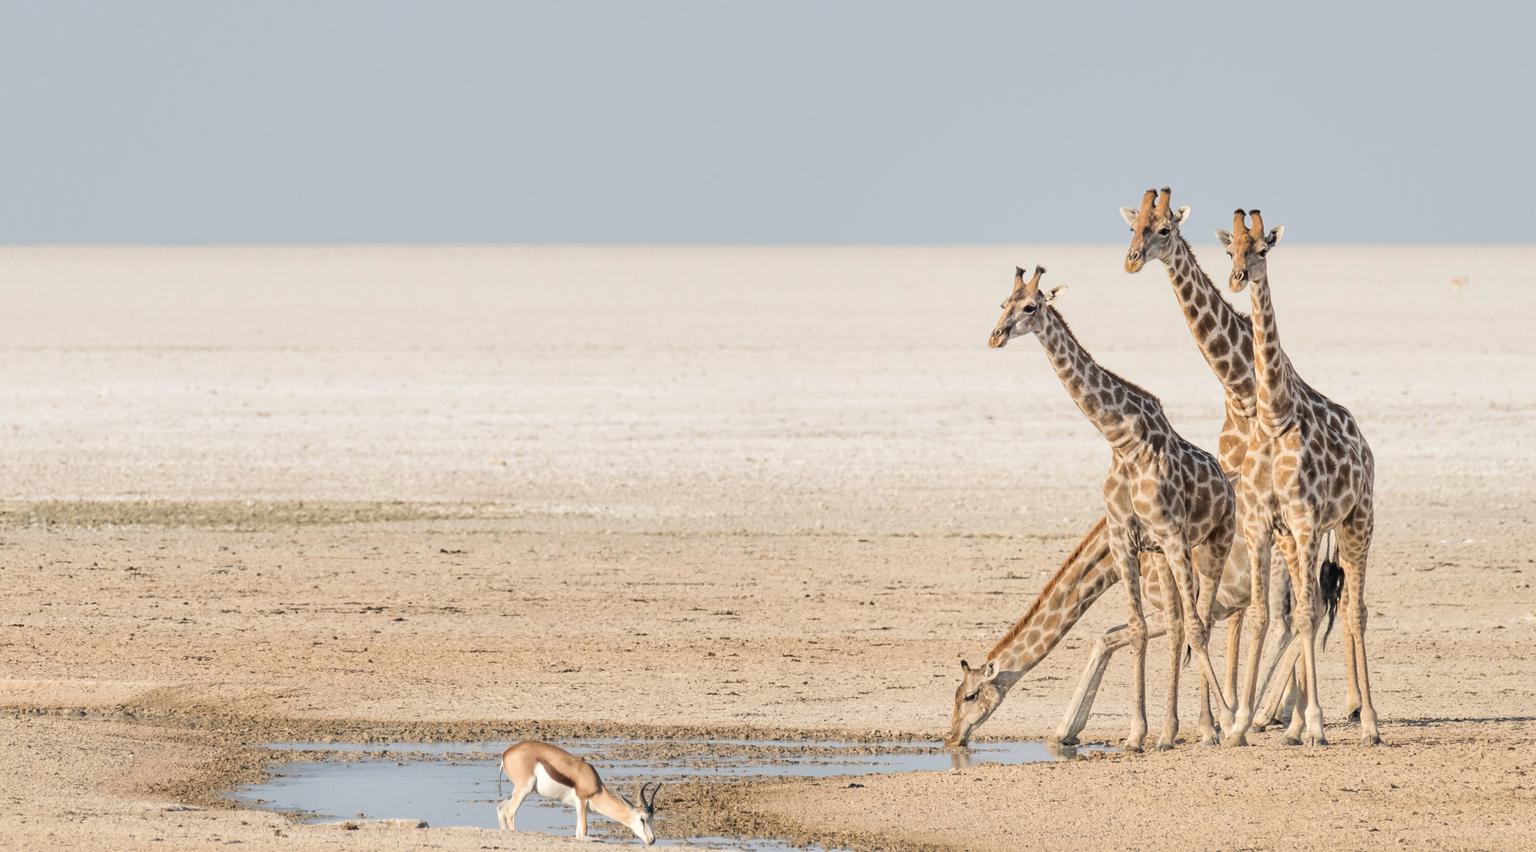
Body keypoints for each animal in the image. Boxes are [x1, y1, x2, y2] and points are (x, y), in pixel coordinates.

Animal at [981, 266, 1234, 752]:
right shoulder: (1125, 539)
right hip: (1164, 555)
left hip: (1213, 544)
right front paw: (1138, 734)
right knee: (1177, 624)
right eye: (1002, 302)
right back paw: (1170, 732)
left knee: (1202, 623)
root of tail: (1228, 485)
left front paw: (1228, 723)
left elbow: (1196, 627)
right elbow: (1137, 629)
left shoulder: (1172, 536)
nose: (995, 336)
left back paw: (1215, 726)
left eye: (1031, 306)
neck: (1123, 442)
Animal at [1214, 209, 1380, 747]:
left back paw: (1368, 723)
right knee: (1316, 607)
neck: (1272, 417)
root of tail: (1364, 444)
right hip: (1299, 537)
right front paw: (1241, 724)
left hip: (1357, 522)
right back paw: (1294, 722)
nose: (1238, 277)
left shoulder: (1306, 520)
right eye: (1230, 249)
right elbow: (1263, 614)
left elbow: (1307, 614)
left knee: (1353, 610)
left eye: (1263, 249)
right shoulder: (1262, 524)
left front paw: (1316, 724)